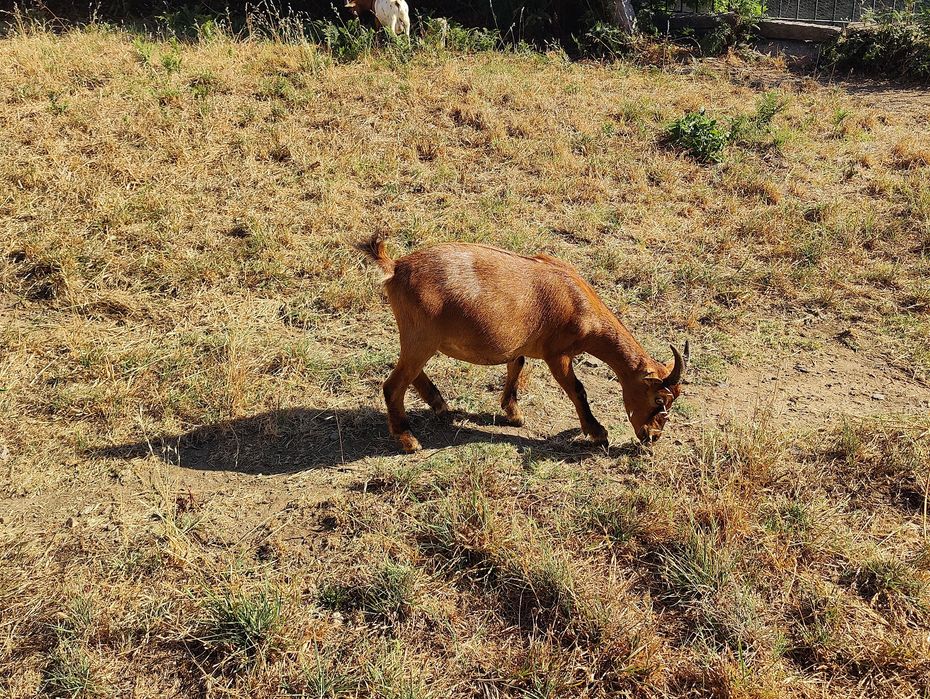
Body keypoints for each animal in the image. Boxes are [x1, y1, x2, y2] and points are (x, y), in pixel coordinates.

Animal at [358, 235, 688, 452]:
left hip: (420, 340)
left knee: (411, 373)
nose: (652, 437)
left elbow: (516, 366)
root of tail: (396, 266)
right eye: (659, 400)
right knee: (393, 384)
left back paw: (440, 405)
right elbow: (578, 390)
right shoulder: (558, 355)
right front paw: (597, 432)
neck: (576, 300)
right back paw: (408, 439)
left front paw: (513, 413)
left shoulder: (518, 345)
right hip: (421, 337)